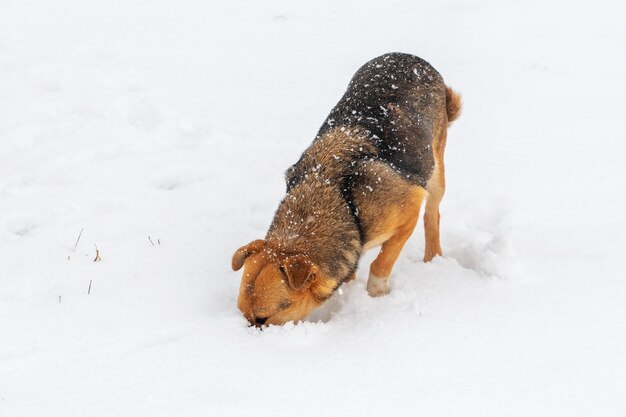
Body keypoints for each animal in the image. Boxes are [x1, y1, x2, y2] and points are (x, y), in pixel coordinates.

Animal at [232, 52, 460, 324]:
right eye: (242, 313)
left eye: (262, 319)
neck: (339, 199)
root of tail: (409, 56)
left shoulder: (408, 212)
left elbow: (380, 265)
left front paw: (376, 296)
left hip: (435, 172)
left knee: (432, 215)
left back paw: (432, 258)